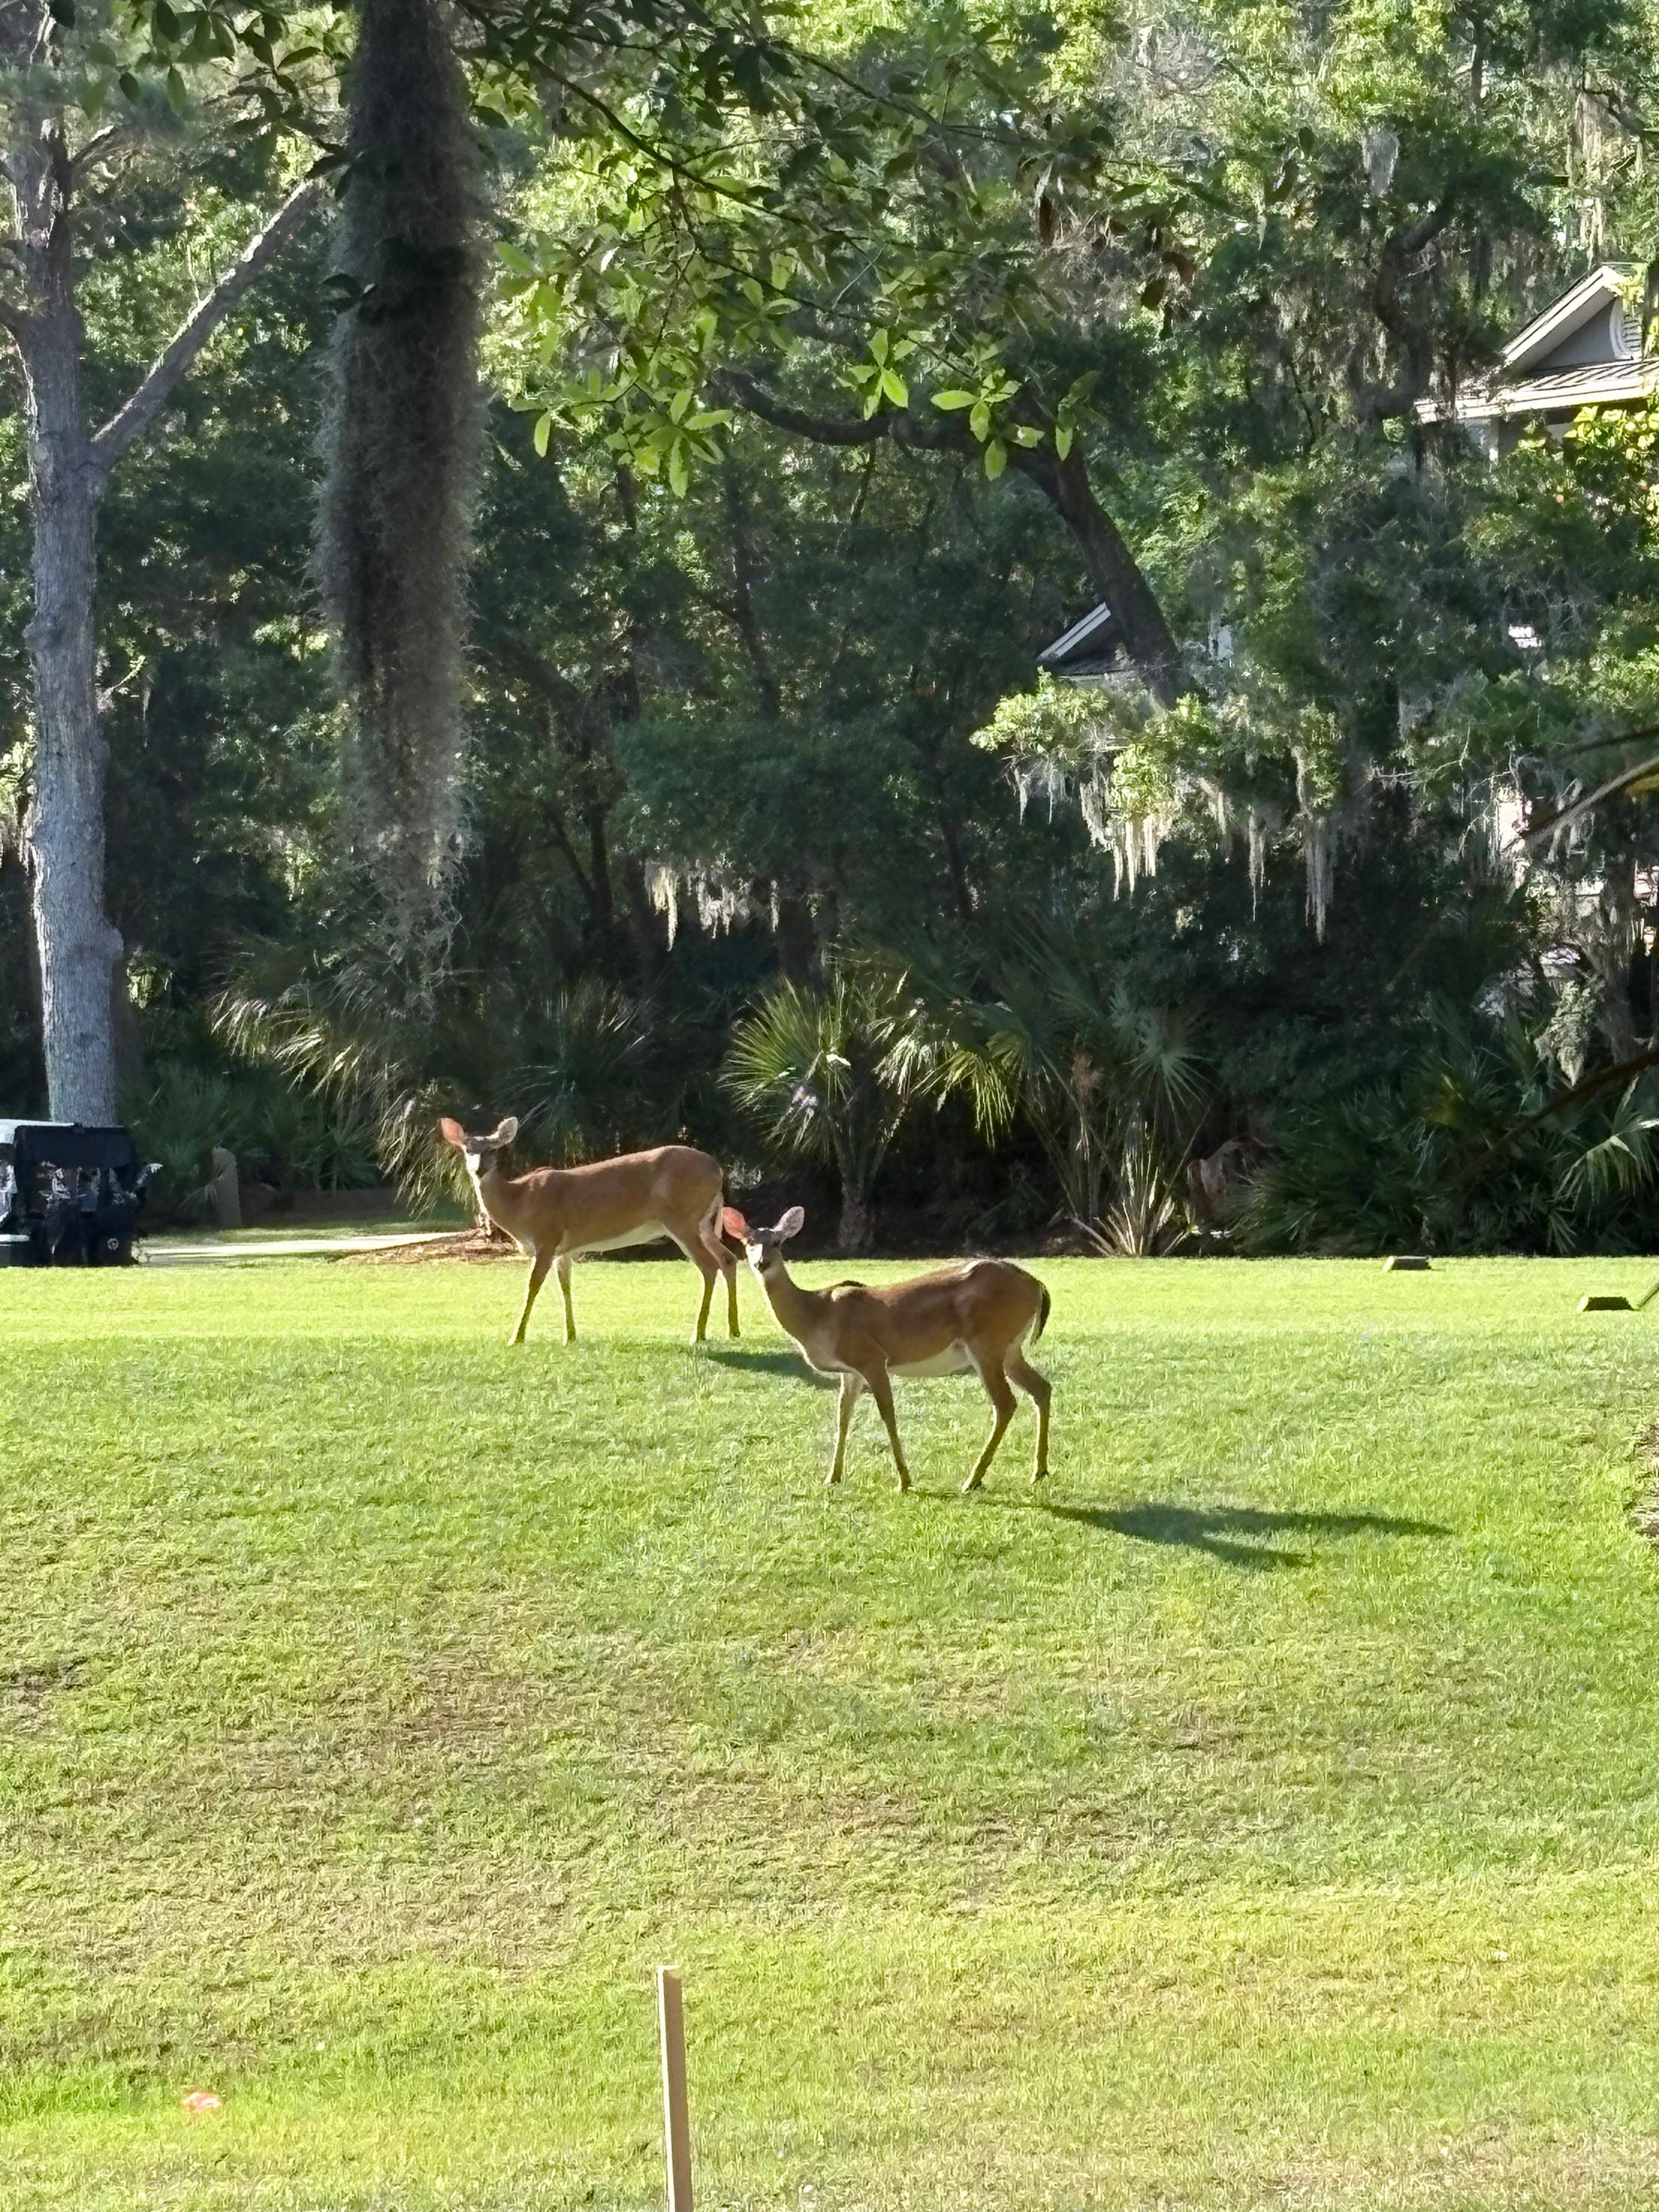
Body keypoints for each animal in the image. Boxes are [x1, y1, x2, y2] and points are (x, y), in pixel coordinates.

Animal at [440, 1117, 740, 1348]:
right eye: (468, 1148)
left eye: (495, 1149)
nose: (480, 1169)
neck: (520, 1203)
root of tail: (718, 1170)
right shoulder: (564, 1248)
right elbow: (566, 1286)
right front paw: (571, 1336)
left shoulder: (547, 1237)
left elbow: (533, 1285)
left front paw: (517, 1338)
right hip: (704, 1222)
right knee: (728, 1259)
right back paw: (733, 1329)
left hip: (681, 1217)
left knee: (709, 1265)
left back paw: (698, 1334)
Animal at [722, 1205, 1052, 1493]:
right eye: (749, 1242)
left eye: (777, 1242)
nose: (762, 1263)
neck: (818, 1315)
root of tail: (1038, 1285)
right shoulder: (851, 1371)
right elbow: (843, 1415)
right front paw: (833, 1477)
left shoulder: (873, 1357)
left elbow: (887, 1413)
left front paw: (904, 1481)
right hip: (1010, 1348)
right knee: (1042, 1388)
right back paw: (1039, 1471)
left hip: (987, 1342)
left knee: (1006, 1403)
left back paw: (973, 1479)